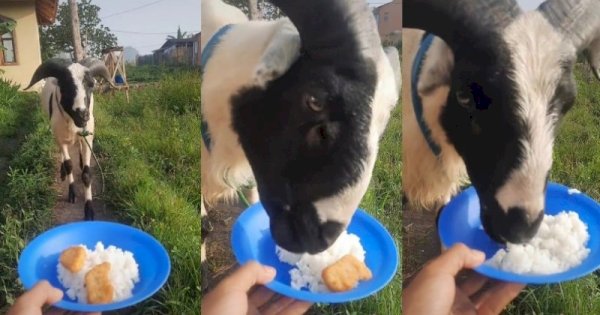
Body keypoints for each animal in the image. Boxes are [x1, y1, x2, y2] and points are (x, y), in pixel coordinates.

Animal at [24, 58, 112, 222]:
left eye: (91, 84)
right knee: (62, 156)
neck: (72, 123)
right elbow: (69, 164)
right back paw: (63, 172)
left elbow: (86, 174)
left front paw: (89, 210)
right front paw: (72, 193)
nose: (82, 115)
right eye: (64, 84)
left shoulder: (88, 138)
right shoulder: (61, 139)